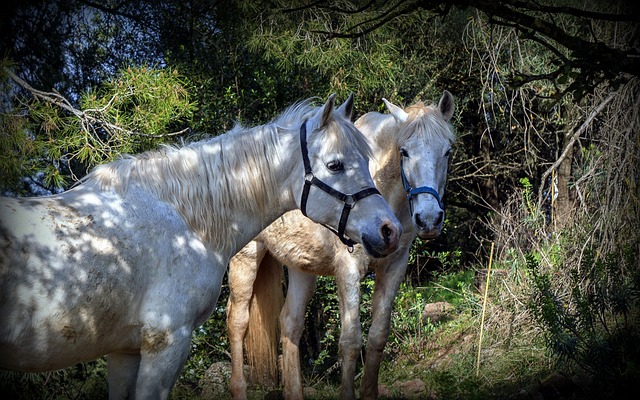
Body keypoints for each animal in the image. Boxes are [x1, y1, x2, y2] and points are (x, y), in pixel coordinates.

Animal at [226, 91, 456, 400]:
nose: (429, 219)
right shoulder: (348, 268)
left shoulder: (394, 266)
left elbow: (378, 335)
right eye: (404, 152)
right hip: (246, 259)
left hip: (301, 267)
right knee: (237, 322)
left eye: (447, 152)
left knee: (290, 323)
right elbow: (350, 340)